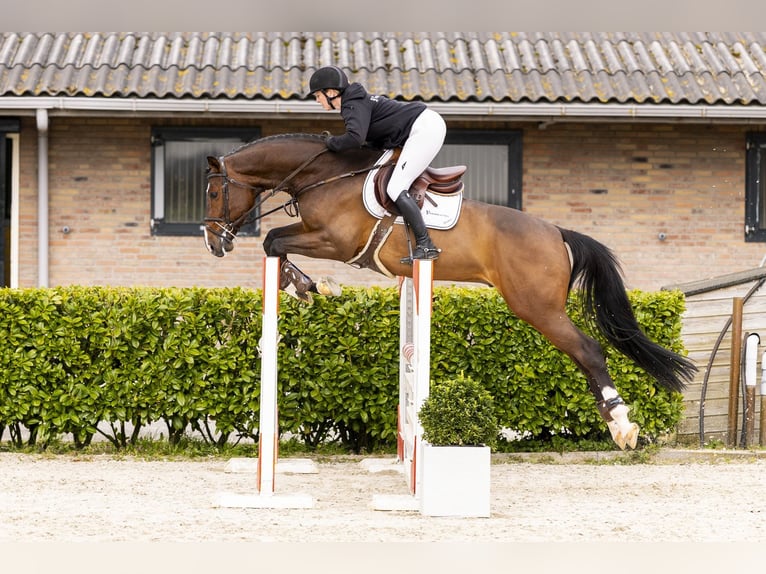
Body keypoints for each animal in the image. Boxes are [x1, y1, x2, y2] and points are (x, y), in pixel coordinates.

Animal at [203, 133, 697, 450]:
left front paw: (311, 285)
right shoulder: (318, 236)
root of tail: (557, 232)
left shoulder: (335, 242)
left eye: (211, 193)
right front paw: (306, 286)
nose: (213, 242)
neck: (324, 175)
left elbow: (272, 240)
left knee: (590, 350)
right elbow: (276, 242)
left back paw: (622, 427)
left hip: (536, 307)